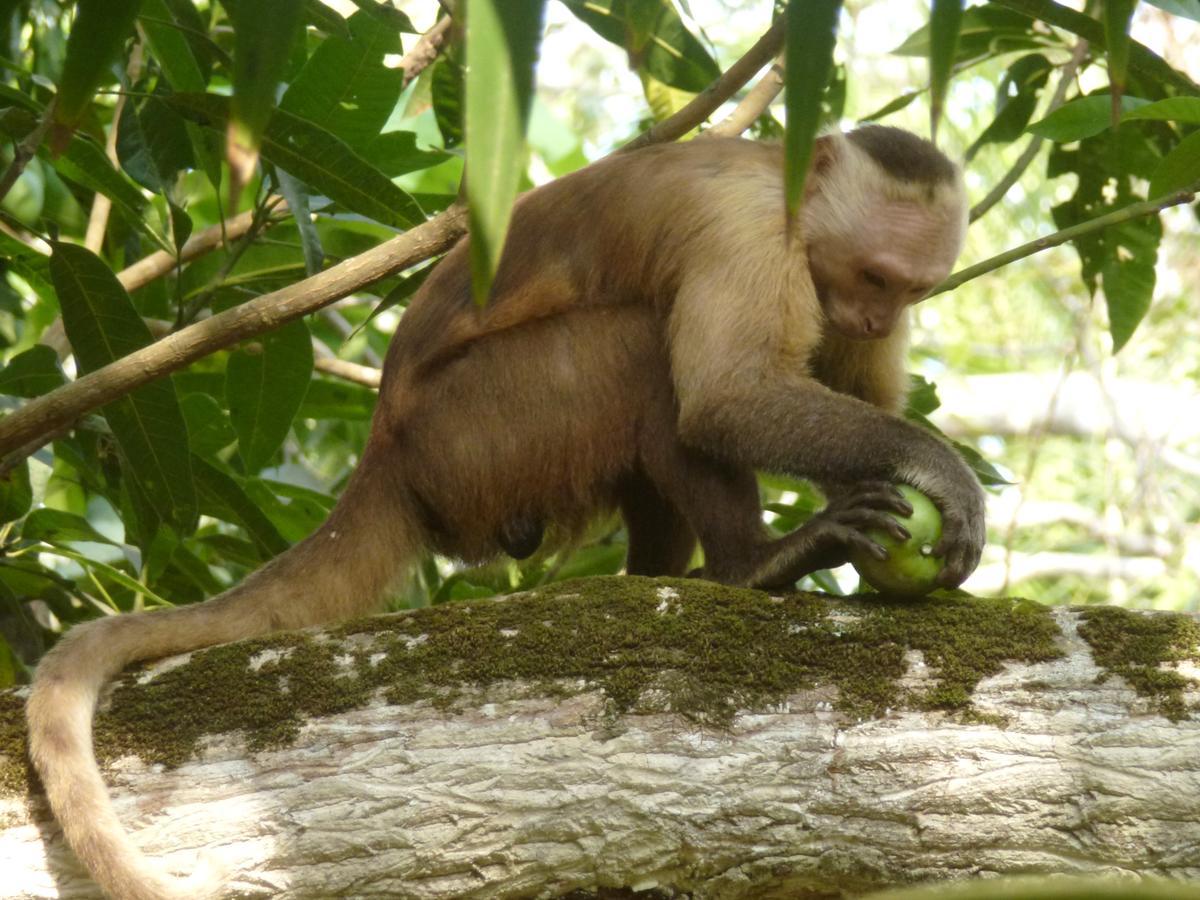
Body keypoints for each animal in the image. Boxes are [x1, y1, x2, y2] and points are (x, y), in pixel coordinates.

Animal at [25, 123, 984, 897]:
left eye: (909, 291)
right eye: (874, 274)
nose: (872, 317)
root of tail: (386, 440)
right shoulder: (750, 231)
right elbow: (726, 398)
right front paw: (940, 470)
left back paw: (670, 580)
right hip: (477, 434)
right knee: (641, 344)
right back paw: (755, 567)